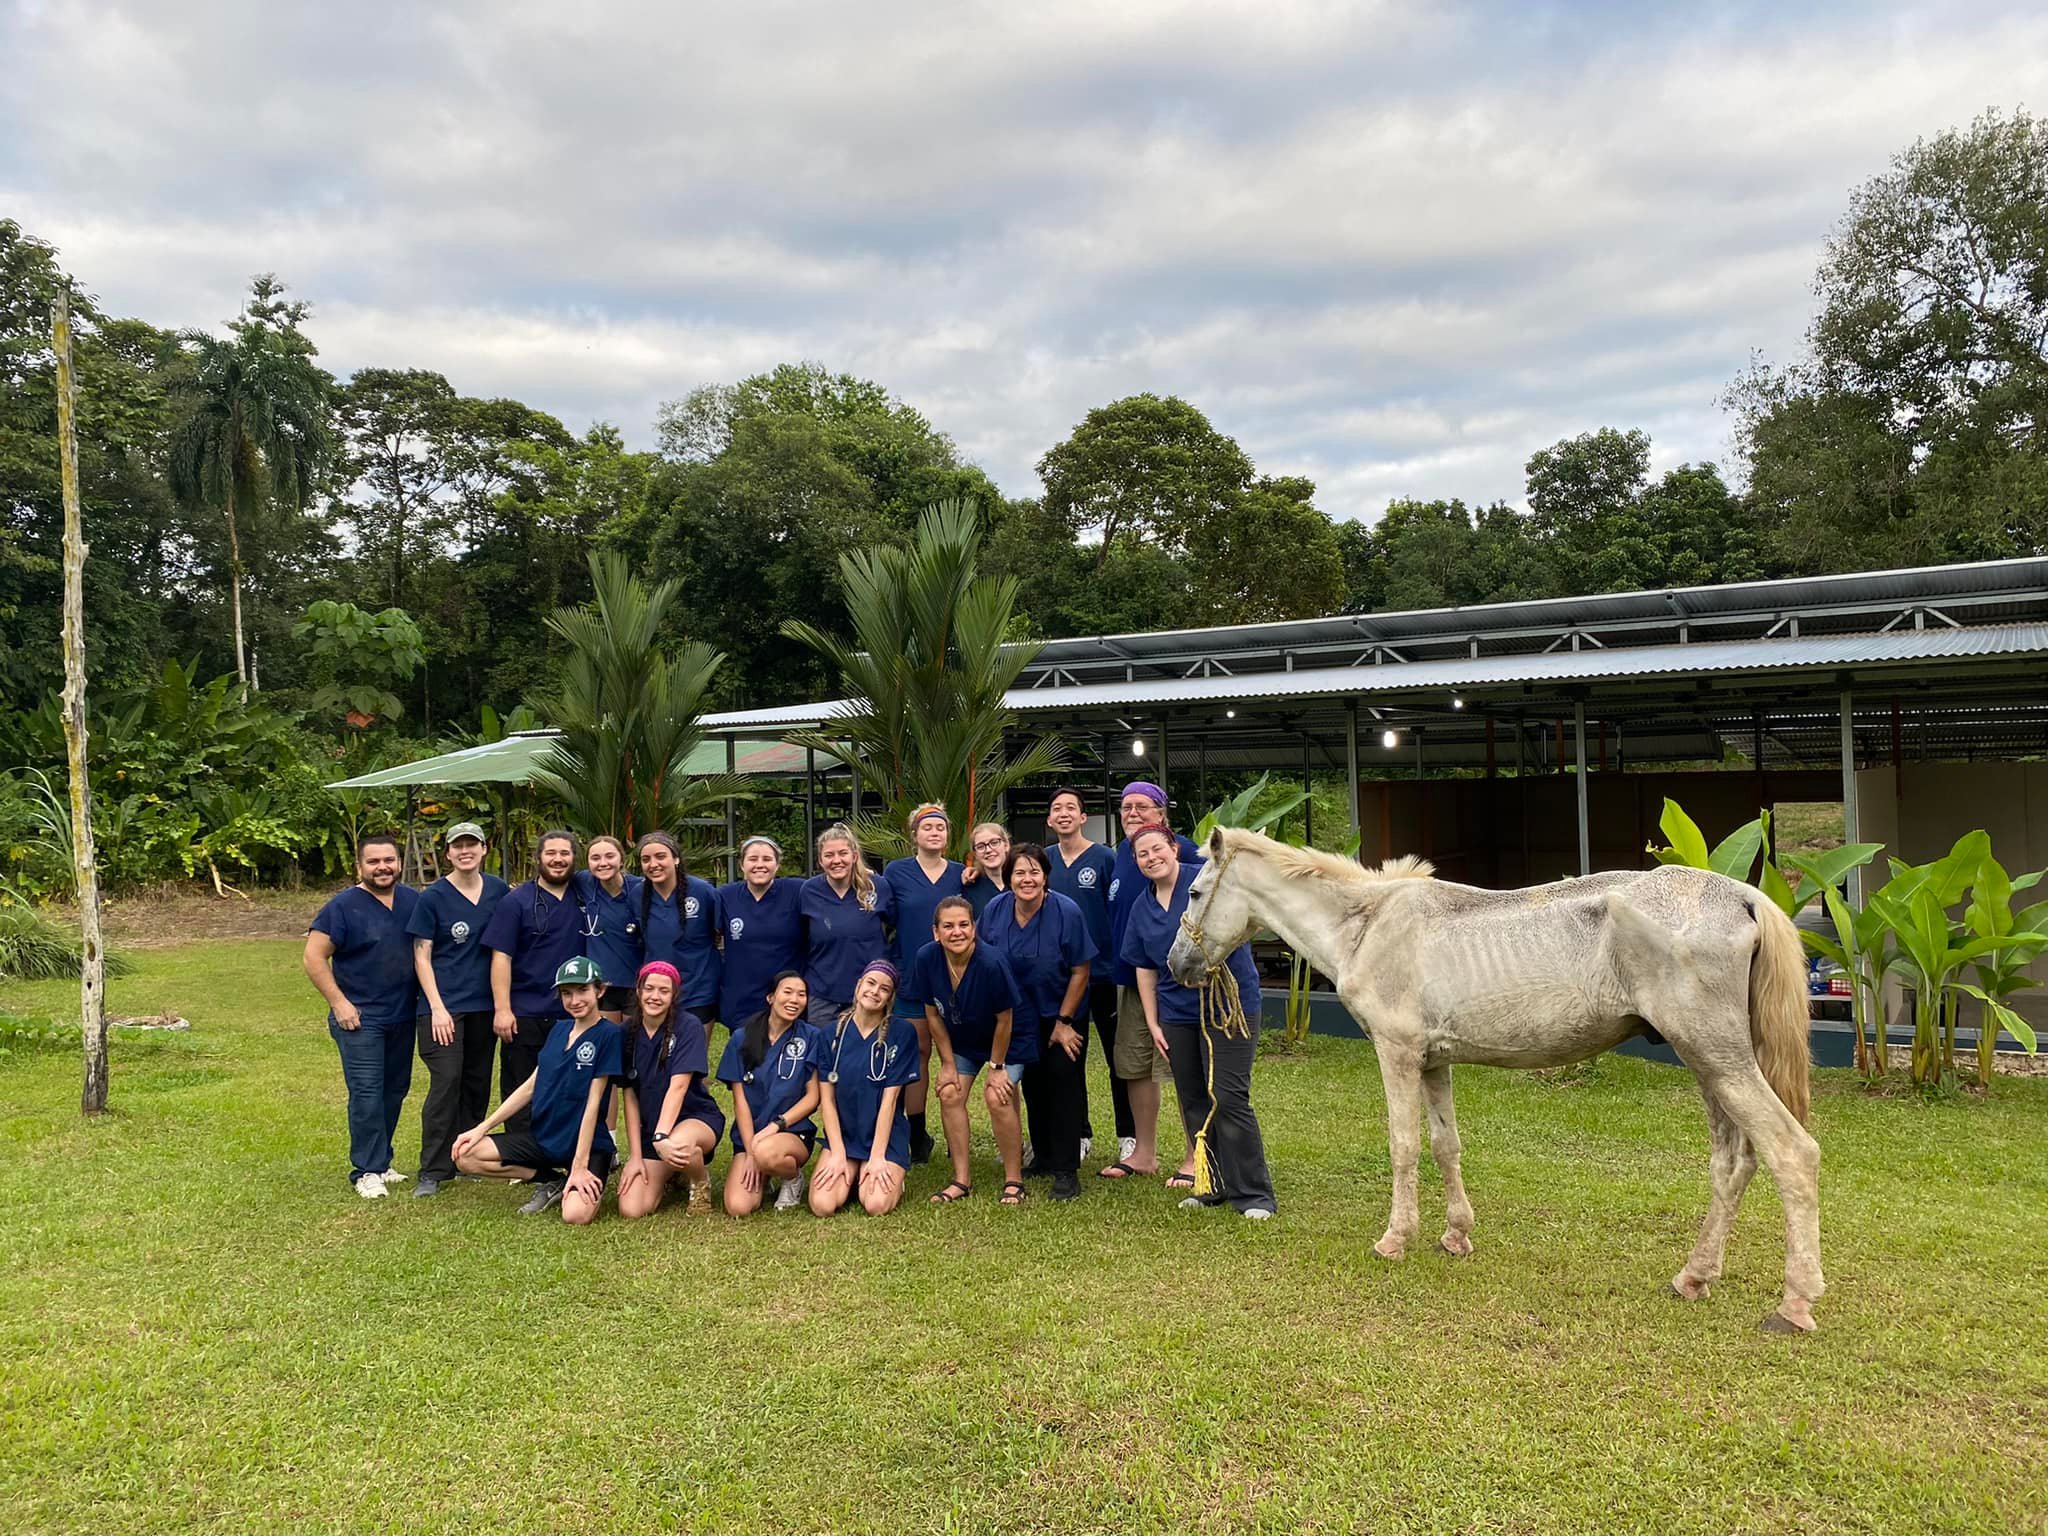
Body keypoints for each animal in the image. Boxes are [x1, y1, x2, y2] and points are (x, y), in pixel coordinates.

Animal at [1171, 831, 1826, 1335]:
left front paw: (1395, 1238)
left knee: (1791, 1153)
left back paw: (1794, 1304)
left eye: (1196, 892)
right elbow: (1445, 1145)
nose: (1178, 963)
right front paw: (1455, 1235)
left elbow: (1404, 1147)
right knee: (1733, 1164)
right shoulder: (1433, 1063)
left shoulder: (1397, 1055)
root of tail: (1743, 895)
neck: (1368, 923)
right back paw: (1694, 1275)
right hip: (1710, 1068)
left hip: (1719, 1061)